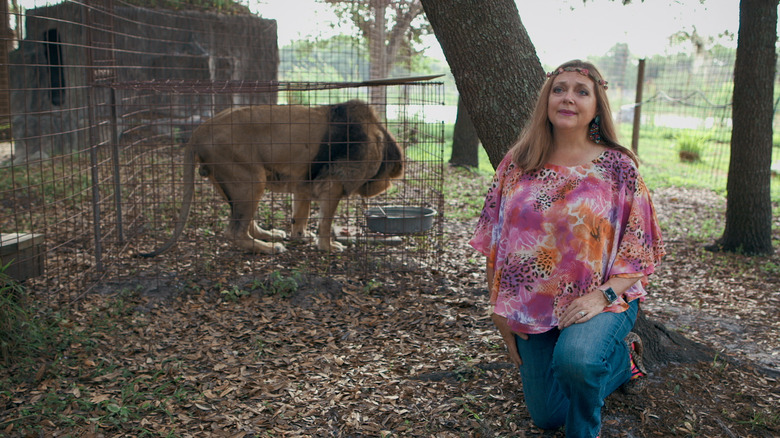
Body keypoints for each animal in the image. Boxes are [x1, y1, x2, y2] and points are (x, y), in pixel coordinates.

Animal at [141, 99, 406, 256]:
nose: (386, 185)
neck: (379, 141)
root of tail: (200, 129)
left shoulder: (303, 183)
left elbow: (300, 214)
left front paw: (301, 236)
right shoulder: (333, 185)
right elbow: (325, 222)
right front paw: (327, 246)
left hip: (231, 183)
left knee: (245, 222)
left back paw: (269, 235)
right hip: (252, 178)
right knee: (235, 232)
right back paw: (269, 248)